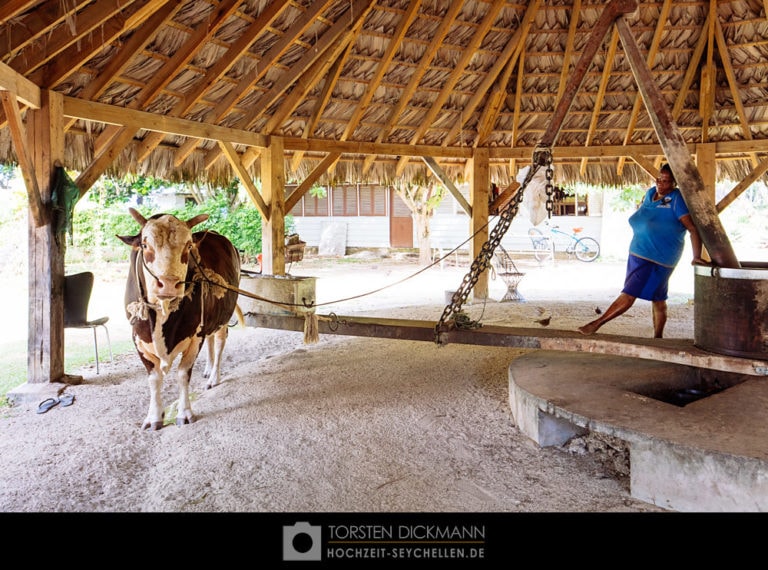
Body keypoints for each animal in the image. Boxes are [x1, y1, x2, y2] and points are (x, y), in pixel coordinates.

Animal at [118, 206, 240, 428]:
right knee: (211, 341)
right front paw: (154, 416)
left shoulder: (195, 336)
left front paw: (184, 413)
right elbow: (154, 378)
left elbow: (183, 374)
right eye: (145, 244)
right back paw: (208, 369)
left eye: (188, 246)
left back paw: (214, 377)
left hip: (223, 318)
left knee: (219, 343)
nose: (168, 283)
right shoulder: (138, 338)